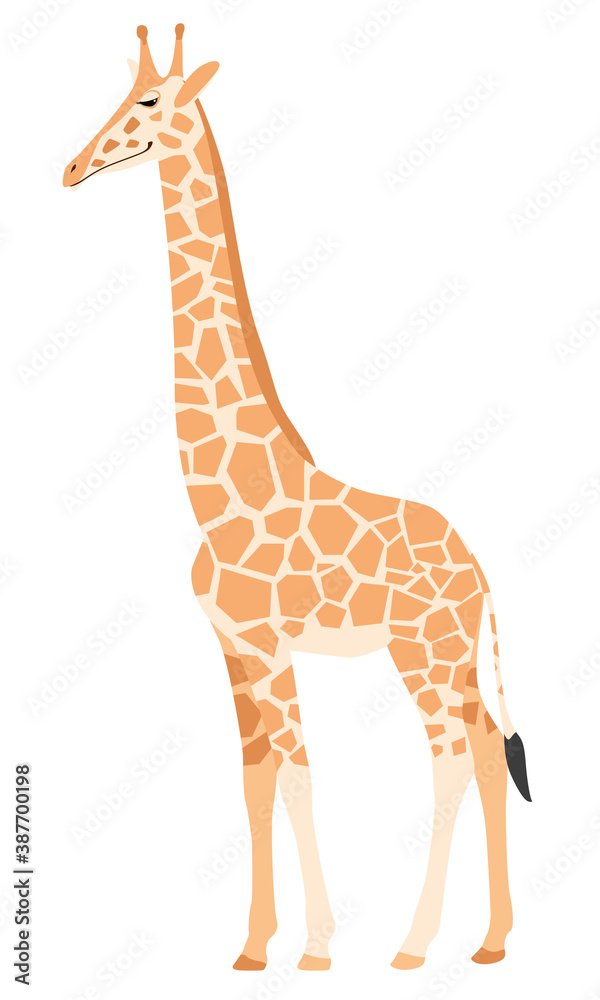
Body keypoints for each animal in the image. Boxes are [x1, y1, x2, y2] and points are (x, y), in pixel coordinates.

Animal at [63, 24, 531, 972]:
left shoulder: (273, 647)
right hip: (452, 656)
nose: (73, 167)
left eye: (149, 102)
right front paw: (251, 946)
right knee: (485, 750)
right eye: (121, 93)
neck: (224, 489)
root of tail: (478, 568)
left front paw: (316, 946)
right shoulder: (234, 650)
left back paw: (414, 944)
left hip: (421, 653)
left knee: (449, 758)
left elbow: (303, 775)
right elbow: (255, 782)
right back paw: (492, 941)